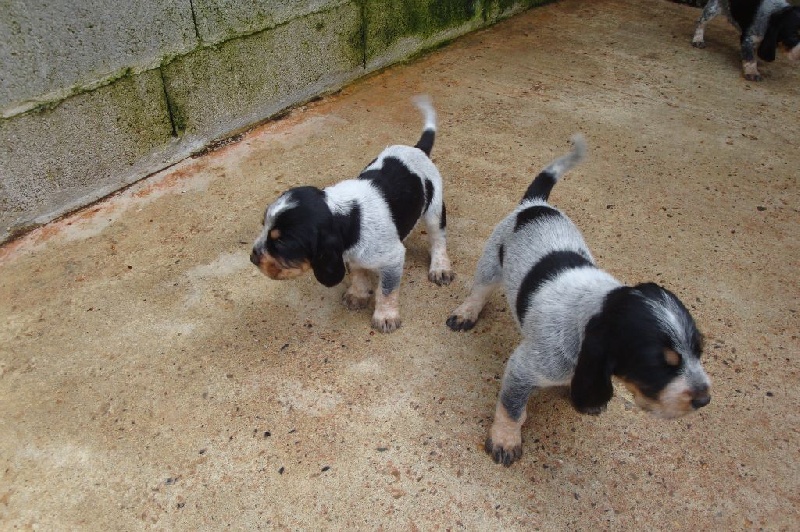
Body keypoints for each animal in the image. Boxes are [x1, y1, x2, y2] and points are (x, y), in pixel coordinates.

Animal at [250, 96, 454, 333]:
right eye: (263, 226)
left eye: (282, 242)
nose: (252, 258)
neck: (352, 218)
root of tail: (417, 149)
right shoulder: (352, 255)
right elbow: (358, 273)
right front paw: (358, 294)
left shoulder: (393, 259)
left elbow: (387, 291)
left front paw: (385, 316)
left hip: (434, 212)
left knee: (438, 240)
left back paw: (440, 267)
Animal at [446, 135, 711, 466]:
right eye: (658, 363)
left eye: (700, 351)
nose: (704, 399)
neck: (595, 307)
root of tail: (535, 205)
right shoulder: (523, 368)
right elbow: (512, 409)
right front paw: (505, 440)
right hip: (491, 264)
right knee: (479, 291)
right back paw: (466, 312)